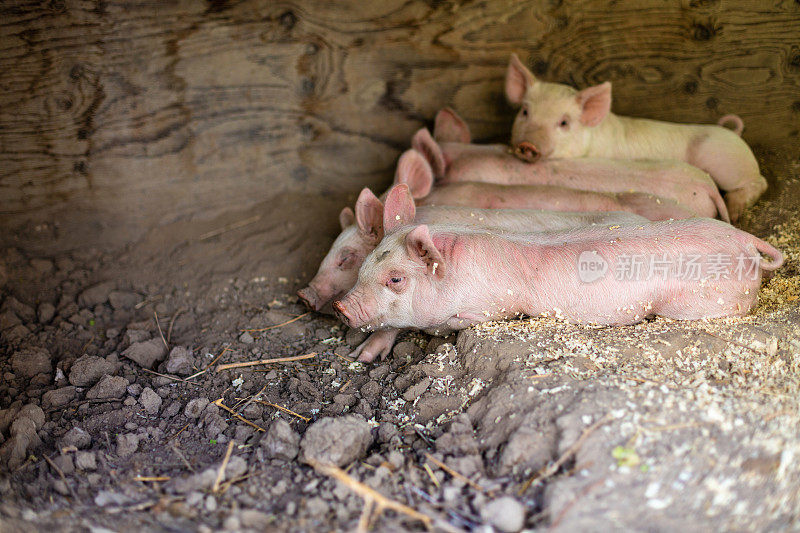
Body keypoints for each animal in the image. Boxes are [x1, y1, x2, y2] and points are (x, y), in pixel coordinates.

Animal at [506, 52, 768, 220]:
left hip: (725, 161)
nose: (528, 144)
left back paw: (735, 211)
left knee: (758, 181)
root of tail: (733, 133)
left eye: (563, 122)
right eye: (525, 111)